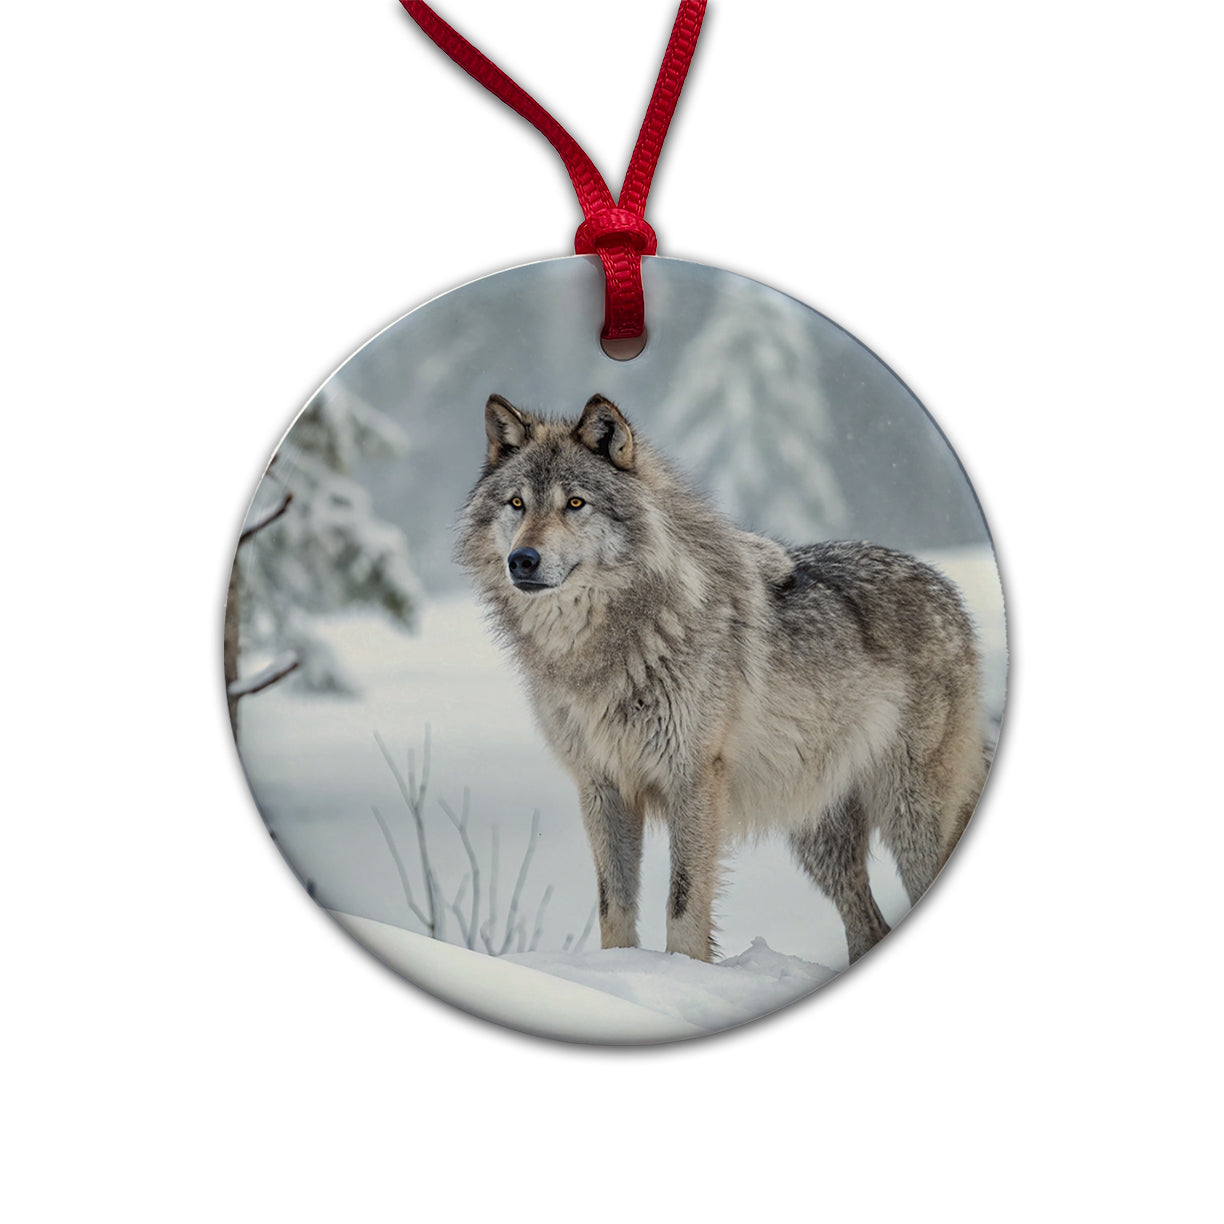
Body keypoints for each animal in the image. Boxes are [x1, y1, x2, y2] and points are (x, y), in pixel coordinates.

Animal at [457, 393, 987, 964]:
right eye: (516, 503)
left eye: (575, 503)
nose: (522, 560)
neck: (604, 648)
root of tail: (945, 588)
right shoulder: (601, 785)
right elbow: (612, 907)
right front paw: (618, 971)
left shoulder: (692, 778)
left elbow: (684, 904)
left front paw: (682, 975)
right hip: (819, 837)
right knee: (870, 929)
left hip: (910, 818)